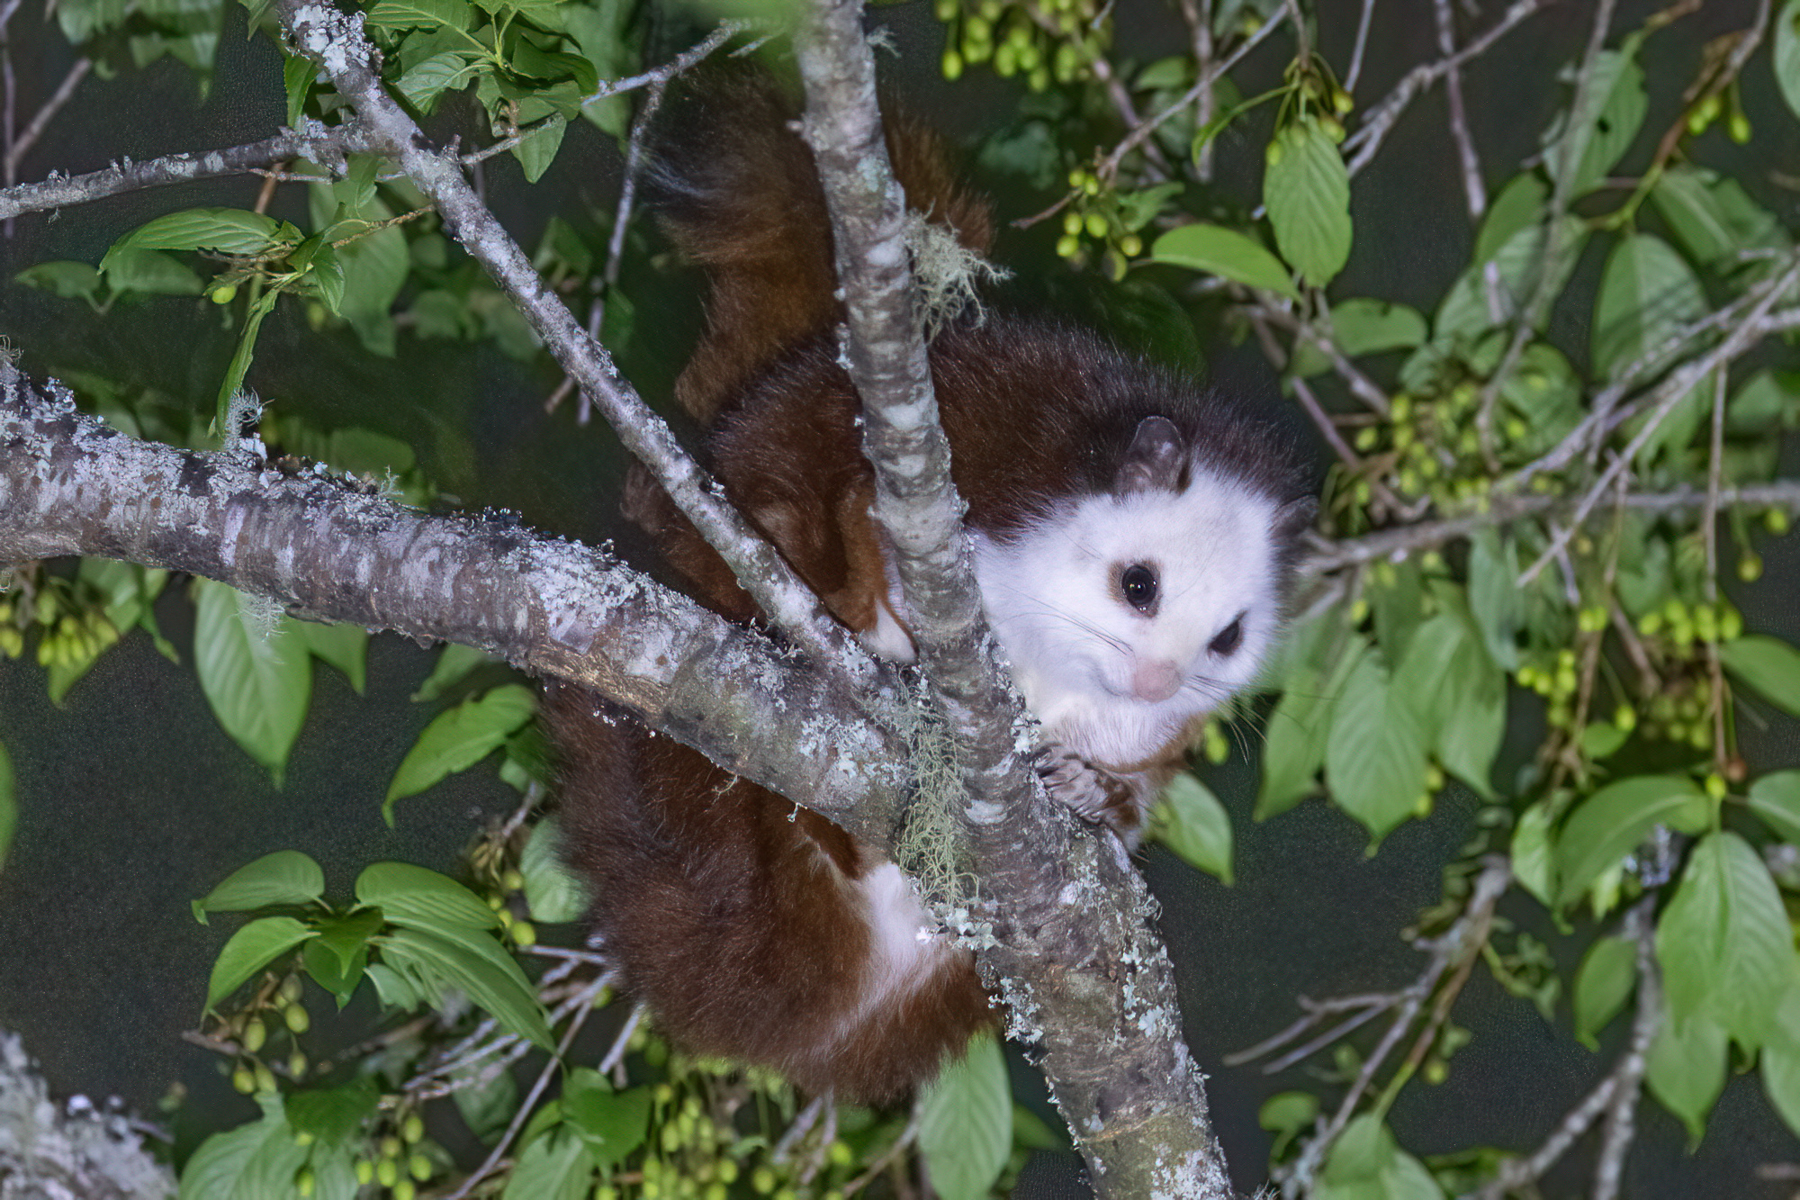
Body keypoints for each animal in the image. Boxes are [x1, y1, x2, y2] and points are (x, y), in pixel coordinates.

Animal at [544, 74, 1315, 1105]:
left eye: (1228, 638)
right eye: (1138, 584)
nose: (1155, 683)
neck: (1053, 665)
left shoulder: (1151, 736)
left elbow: (1134, 789)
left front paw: (1090, 792)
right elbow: (863, 521)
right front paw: (896, 632)